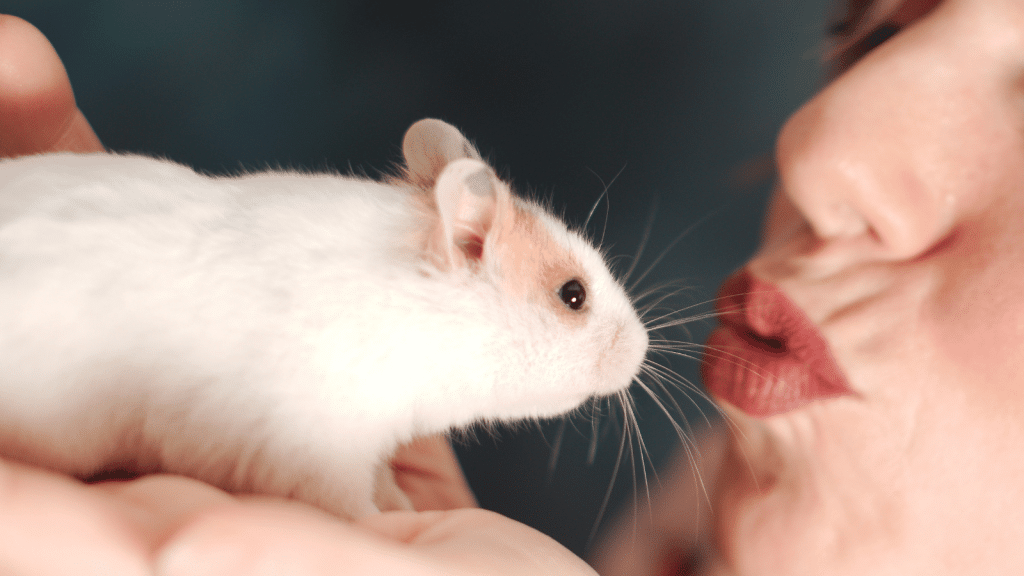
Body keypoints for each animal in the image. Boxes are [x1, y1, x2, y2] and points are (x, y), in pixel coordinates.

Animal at [0, 119, 648, 518]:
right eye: (573, 295)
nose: (643, 348)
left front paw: (399, 504)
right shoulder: (318, 451)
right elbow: (347, 504)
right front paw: (383, 523)